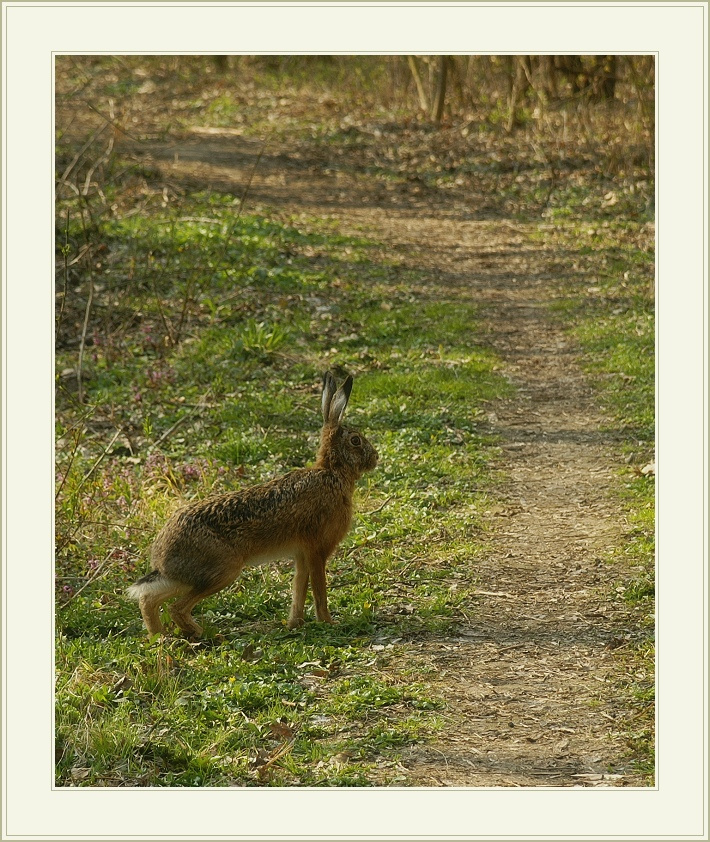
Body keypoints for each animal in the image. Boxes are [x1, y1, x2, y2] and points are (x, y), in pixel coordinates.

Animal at [127, 371, 378, 638]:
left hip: (190, 576)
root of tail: (161, 556)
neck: (333, 472)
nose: (375, 457)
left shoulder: (302, 553)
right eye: (355, 440)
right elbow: (319, 589)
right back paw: (208, 635)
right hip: (223, 570)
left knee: (149, 599)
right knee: (177, 608)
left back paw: (159, 636)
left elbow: (299, 586)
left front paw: (295, 623)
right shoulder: (317, 548)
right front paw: (328, 622)